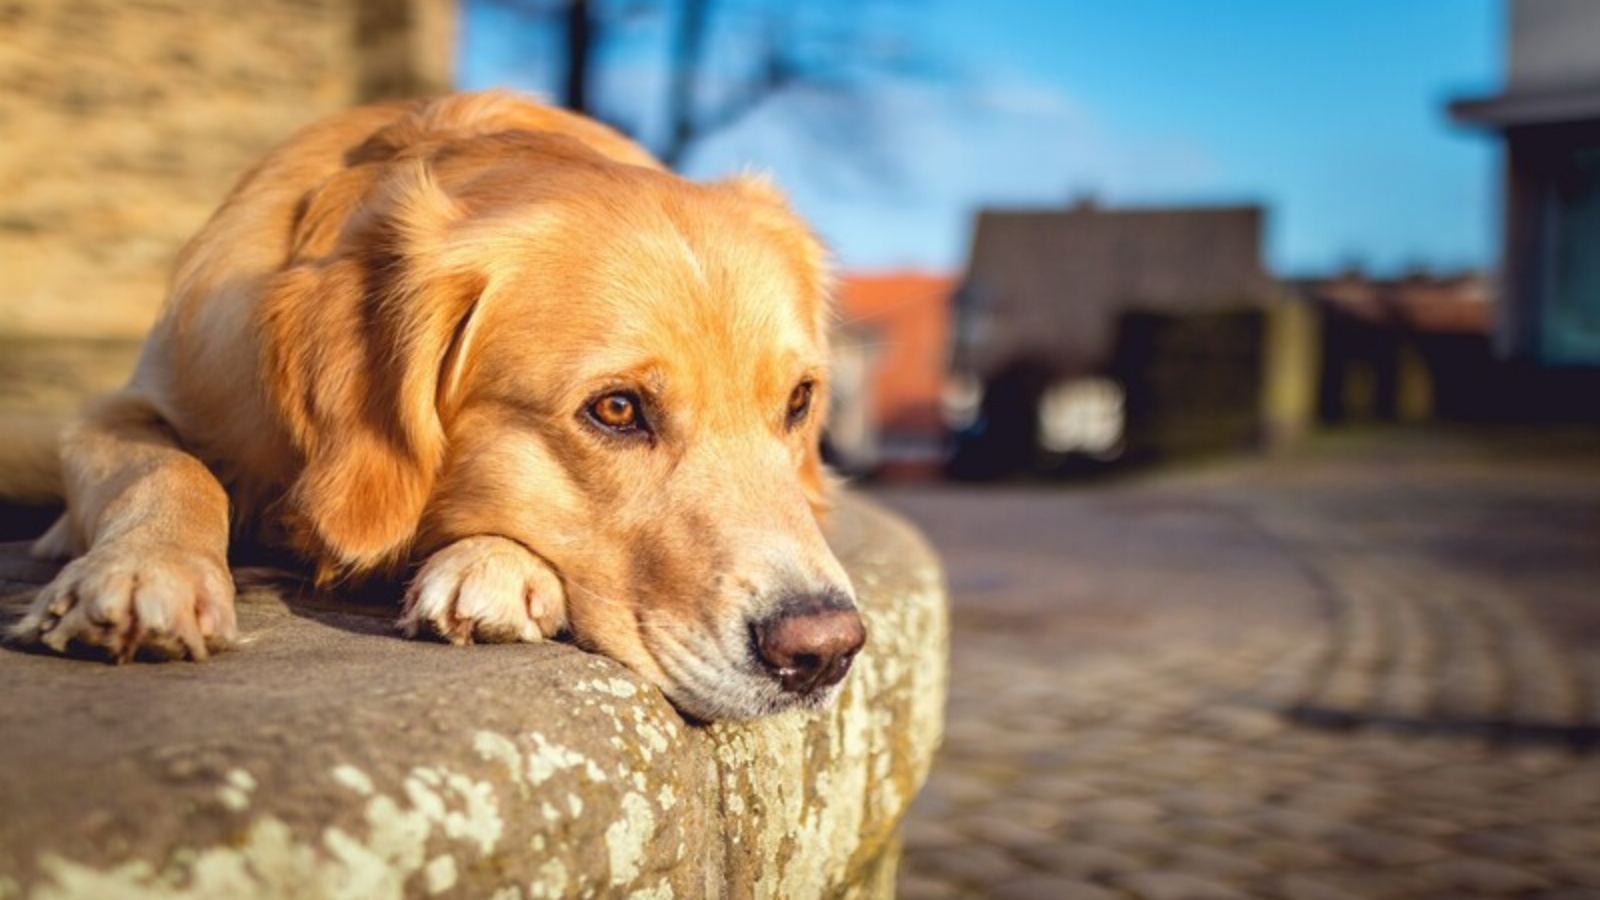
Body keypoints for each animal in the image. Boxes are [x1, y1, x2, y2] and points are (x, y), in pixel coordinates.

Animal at [9, 91, 864, 720]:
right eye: (618, 409)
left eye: (799, 400)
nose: (825, 650)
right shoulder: (130, 402)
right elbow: (168, 467)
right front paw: (144, 568)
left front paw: (493, 565)